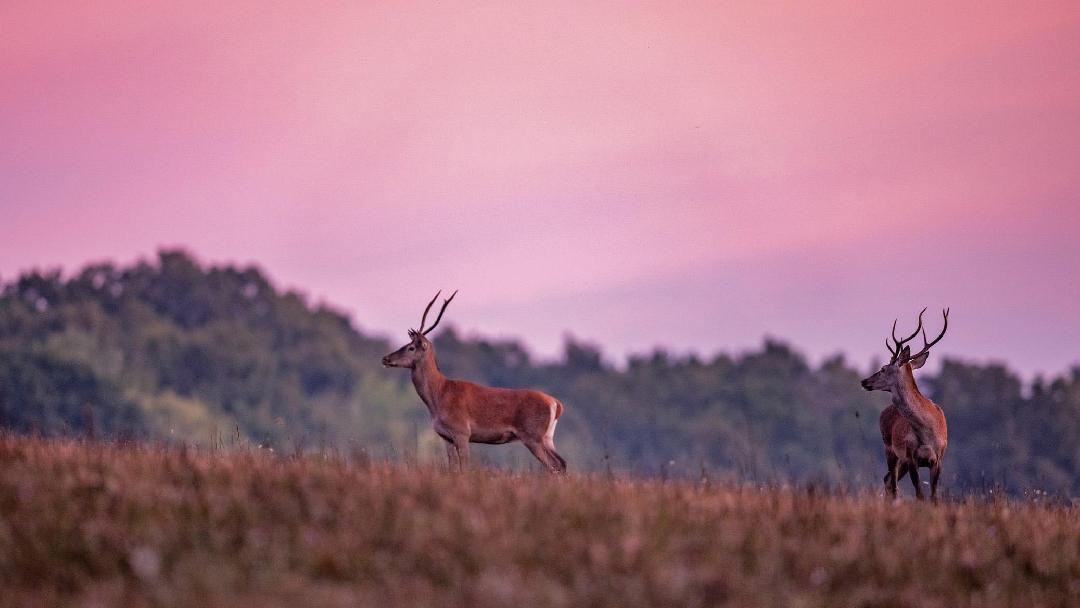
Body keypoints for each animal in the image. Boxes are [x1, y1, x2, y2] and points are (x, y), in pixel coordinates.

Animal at [380, 291, 565, 475]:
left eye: (411, 347)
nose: (385, 358)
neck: (439, 395)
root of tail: (556, 403)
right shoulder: (446, 437)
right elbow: (453, 469)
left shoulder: (462, 432)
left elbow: (465, 468)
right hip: (547, 437)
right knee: (561, 463)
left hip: (532, 435)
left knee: (554, 465)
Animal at [864, 306, 950, 501]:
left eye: (883, 369)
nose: (864, 381)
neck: (926, 432)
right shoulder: (911, 457)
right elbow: (919, 494)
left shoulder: (938, 459)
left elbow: (934, 496)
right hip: (889, 448)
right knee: (891, 483)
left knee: (889, 481)